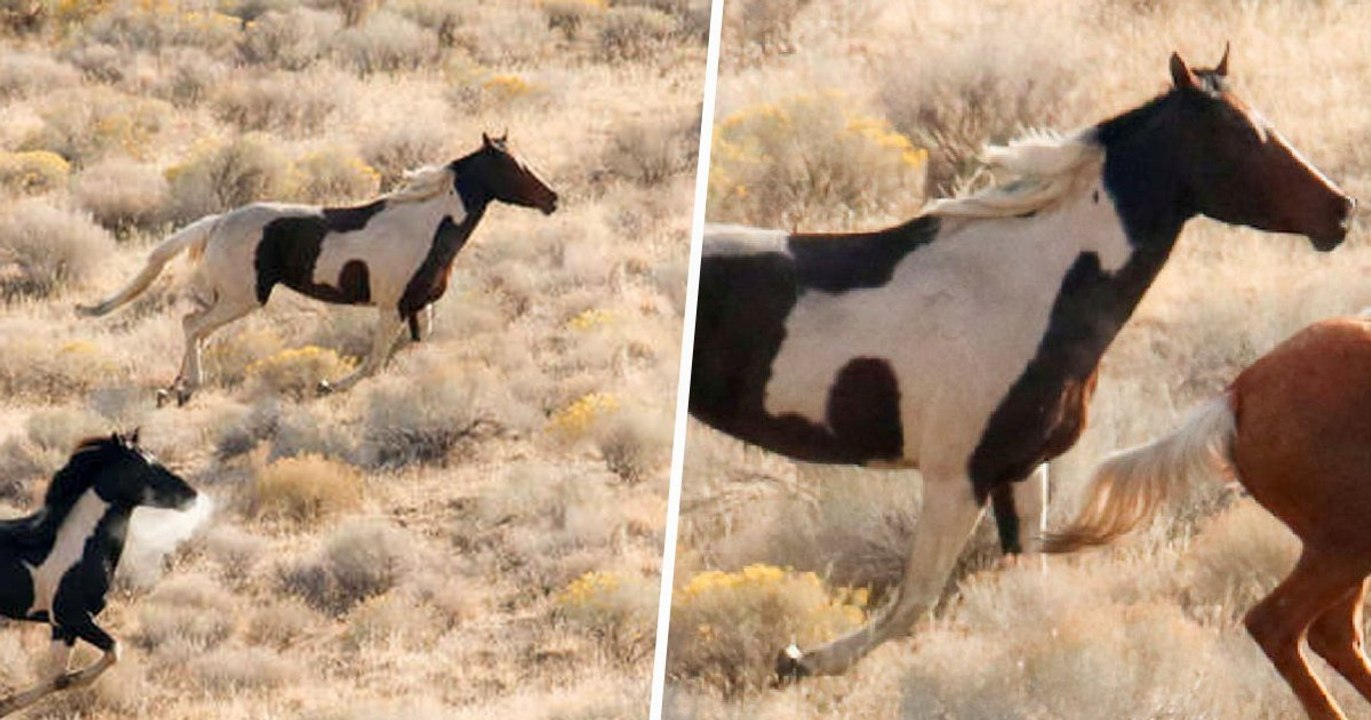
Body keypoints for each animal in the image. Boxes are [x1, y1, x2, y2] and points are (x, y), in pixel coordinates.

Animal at [0, 431, 198, 717]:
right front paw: (6, 704)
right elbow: (113, 650)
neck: (80, 545)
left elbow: (57, 677)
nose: (191, 495)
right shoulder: (73, 617)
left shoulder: (63, 627)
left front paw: (8, 703)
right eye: (143, 467)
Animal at [77, 133, 559, 406]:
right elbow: (374, 363)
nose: (552, 198)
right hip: (241, 298)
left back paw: (174, 388)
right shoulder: (391, 307)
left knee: (195, 327)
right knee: (192, 324)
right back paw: (186, 388)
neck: (426, 225)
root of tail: (218, 222)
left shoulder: (420, 307)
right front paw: (330, 386)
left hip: (229, 298)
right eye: (512, 166)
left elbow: (410, 352)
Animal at [688, 47, 1355, 678]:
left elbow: (1027, 586)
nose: (1341, 211)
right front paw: (797, 660)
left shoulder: (1022, 470)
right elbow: (914, 603)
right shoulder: (956, 479)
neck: (1021, 286)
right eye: (1238, 133)